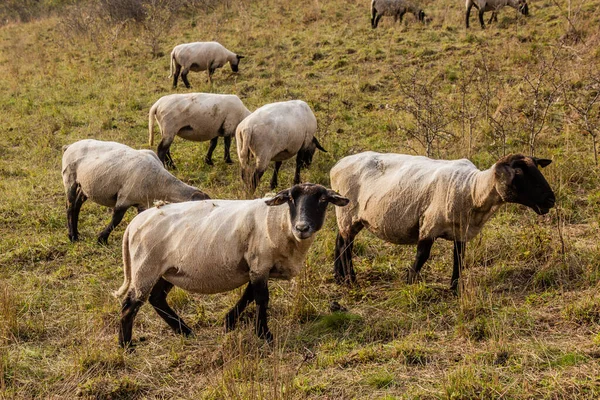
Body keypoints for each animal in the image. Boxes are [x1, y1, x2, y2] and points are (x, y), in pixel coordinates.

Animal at [61, 139, 211, 245]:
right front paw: (101, 239)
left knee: (77, 205)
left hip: (84, 186)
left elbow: (141, 219)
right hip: (70, 179)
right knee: (70, 206)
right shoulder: (124, 198)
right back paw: (72, 236)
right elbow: (116, 220)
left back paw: (76, 233)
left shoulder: (142, 203)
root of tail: (69, 146)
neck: (160, 182)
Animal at [114, 182, 350, 346]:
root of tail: (133, 225)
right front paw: (264, 335)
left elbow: (249, 295)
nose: (302, 227)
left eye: (323, 200)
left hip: (168, 270)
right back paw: (126, 345)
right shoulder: (259, 263)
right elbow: (261, 299)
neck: (281, 222)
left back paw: (185, 331)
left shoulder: (257, 267)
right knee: (130, 305)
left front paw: (229, 322)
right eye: (291, 198)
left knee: (157, 299)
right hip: (146, 267)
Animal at [330, 152, 556, 292]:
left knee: (339, 242)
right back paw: (351, 281)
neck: (473, 190)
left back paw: (339, 278)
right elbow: (422, 256)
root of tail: (337, 166)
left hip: (346, 215)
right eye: (518, 173)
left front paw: (455, 289)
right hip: (348, 214)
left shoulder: (461, 233)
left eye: (538, 169)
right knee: (346, 247)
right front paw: (409, 282)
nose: (550, 200)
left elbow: (459, 259)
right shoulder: (429, 225)